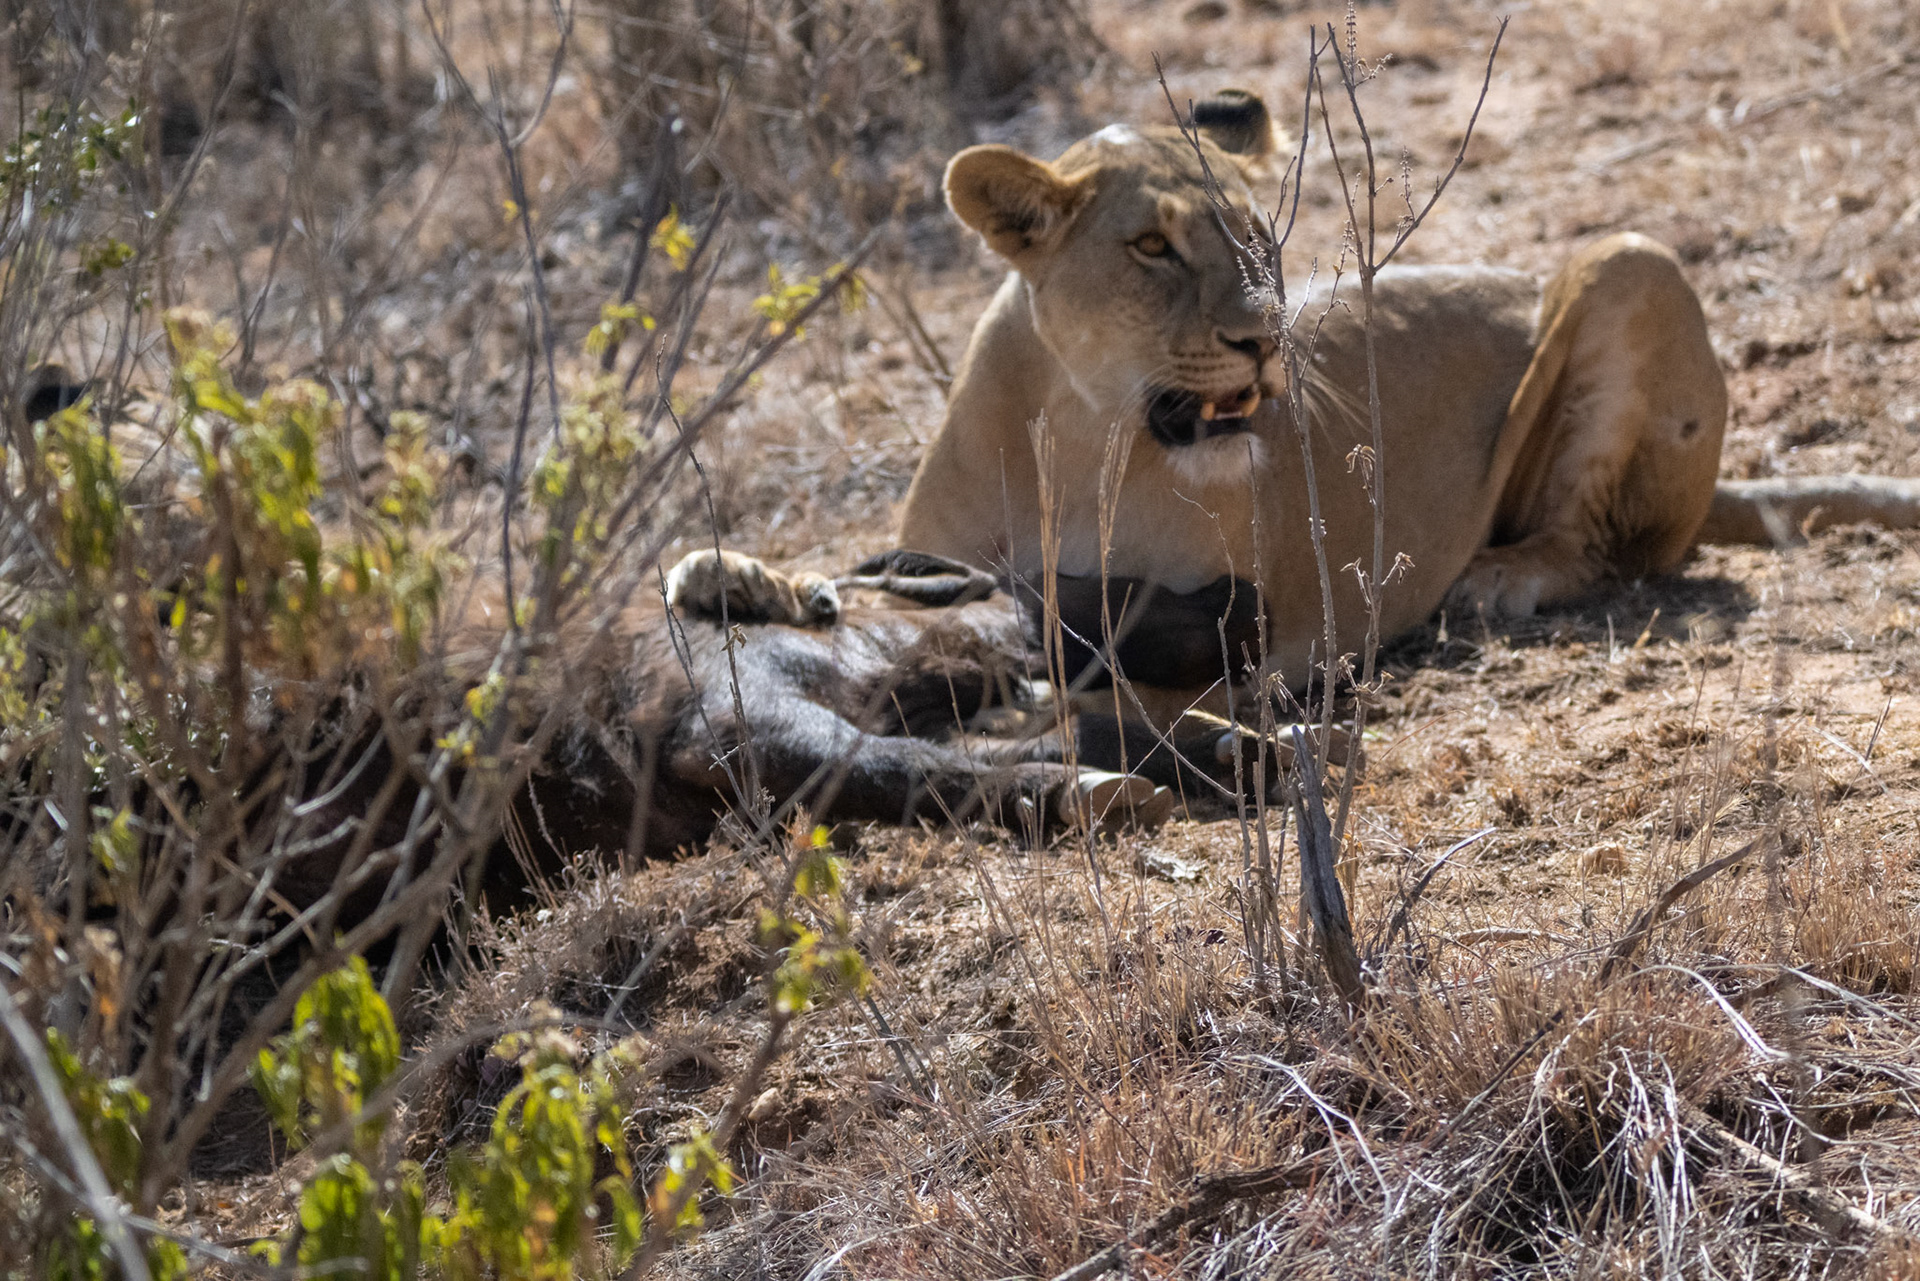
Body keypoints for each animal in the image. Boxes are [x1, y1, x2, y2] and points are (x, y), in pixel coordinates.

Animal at [896, 89, 1920, 693]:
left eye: (1259, 235)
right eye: (1152, 246)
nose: (1266, 340)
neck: (1079, 440)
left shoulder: (1245, 628)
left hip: (1630, 261)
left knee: (1607, 548)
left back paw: (1497, 578)